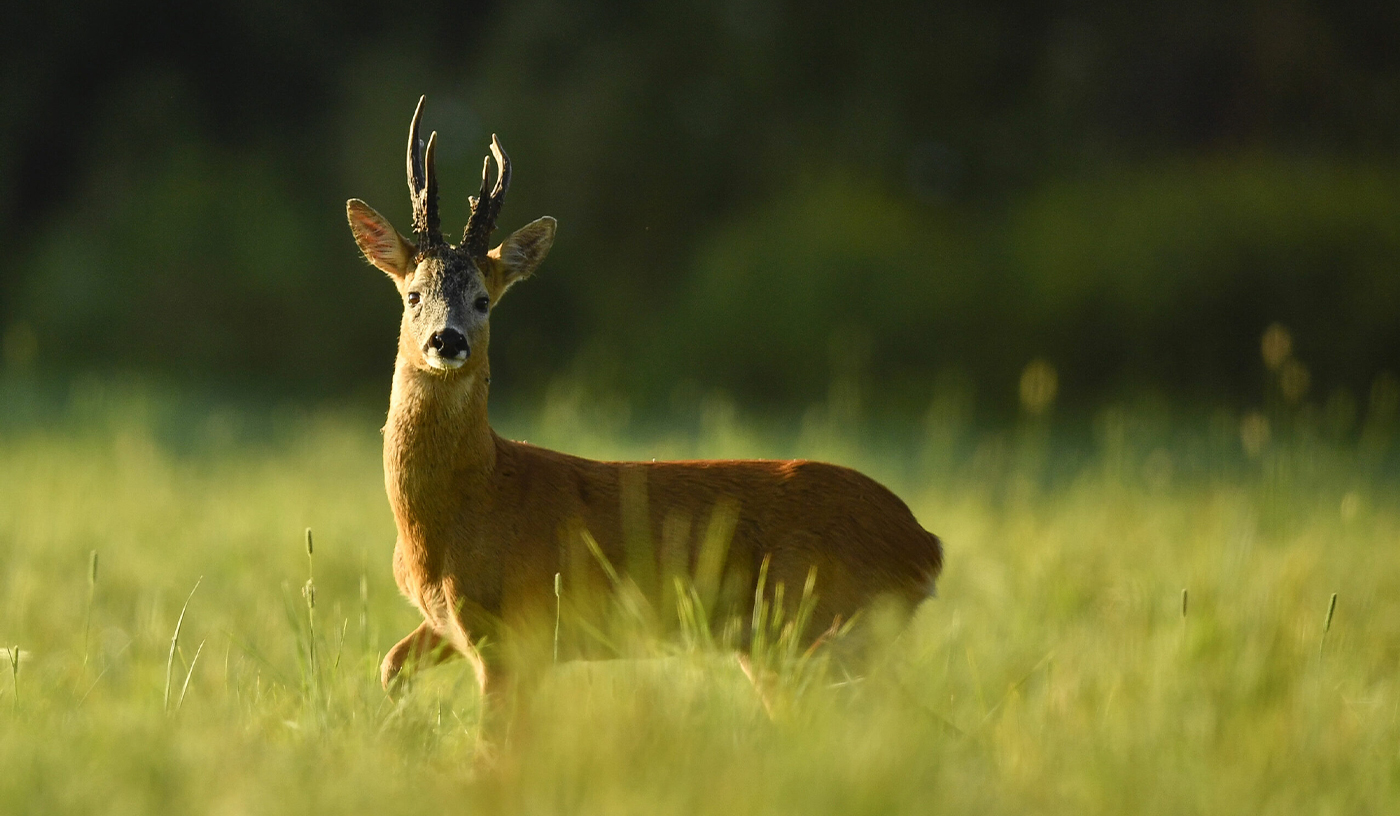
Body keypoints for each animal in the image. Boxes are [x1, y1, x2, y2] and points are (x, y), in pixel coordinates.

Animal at [345, 94, 946, 697]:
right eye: (412, 294)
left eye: (483, 300)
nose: (447, 340)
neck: (468, 497)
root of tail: (925, 547)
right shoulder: (450, 626)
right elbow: (389, 665)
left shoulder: (515, 631)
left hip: (812, 627)